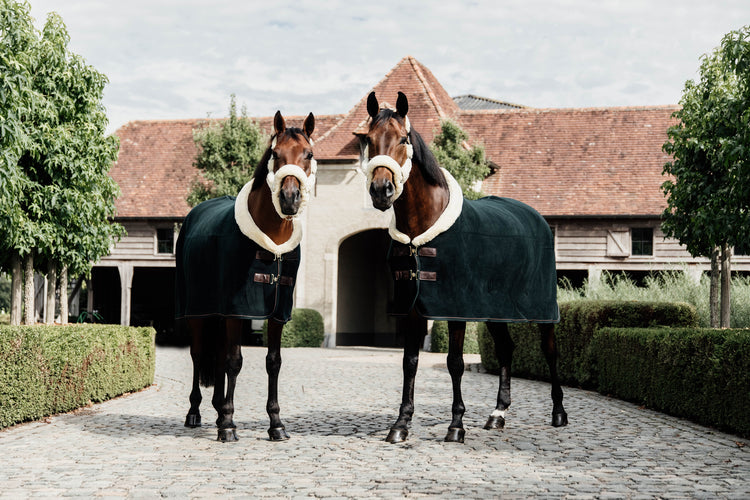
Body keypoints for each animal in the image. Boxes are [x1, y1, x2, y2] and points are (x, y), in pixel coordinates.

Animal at [176, 110, 318, 442]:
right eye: (276, 154)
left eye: (308, 154)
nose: (290, 198)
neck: (272, 243)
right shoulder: (236, 311)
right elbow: (234, 361)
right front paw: (229, 425)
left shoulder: (277, 313)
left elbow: (273, 363)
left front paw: (276, 424)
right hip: (197, 312)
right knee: (199, 355)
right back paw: (196, 413)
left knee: (215, 356)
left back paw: (216, 410)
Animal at [362, 92, 568, 444]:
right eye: (369, 140)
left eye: (403, 139)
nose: (381, 190)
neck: (423, 227)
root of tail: (537, 218)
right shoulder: (414, 307)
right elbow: (409, 362)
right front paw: (401, 424)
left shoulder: (455, 308)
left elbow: (455, 362)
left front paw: (456, 425)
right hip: (496, 311)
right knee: (506, 349)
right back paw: (498, 414)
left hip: (542, 310)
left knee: (550, 351)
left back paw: (558, 413)